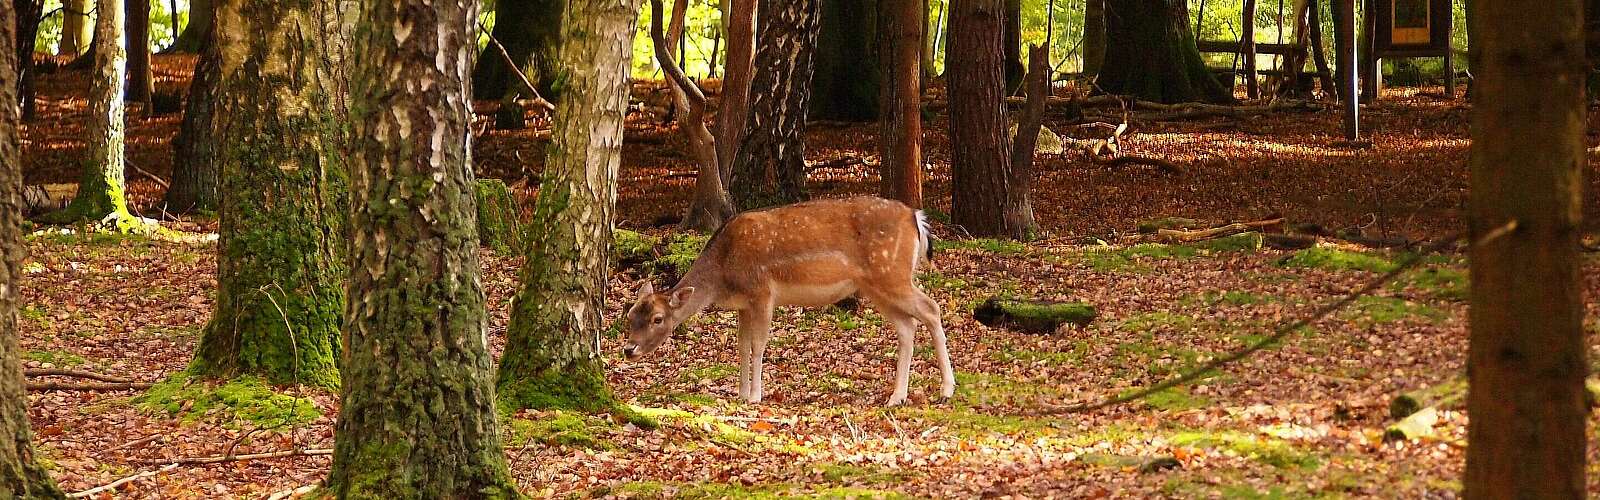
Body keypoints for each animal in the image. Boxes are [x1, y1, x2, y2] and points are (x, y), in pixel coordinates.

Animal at [620, 195, 947, 407]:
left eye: (658, 319)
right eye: (631, 315)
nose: (629, 349)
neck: (723, 273)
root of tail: (916, 217)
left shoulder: (762, 292)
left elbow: (758, 345)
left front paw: (755, 395)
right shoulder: (743, 304)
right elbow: (741, 346)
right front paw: (740, 393)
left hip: (891, 273)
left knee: (931, 309)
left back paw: (946, 390)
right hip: (874, 286)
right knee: (907, 326)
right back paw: (897, 397)